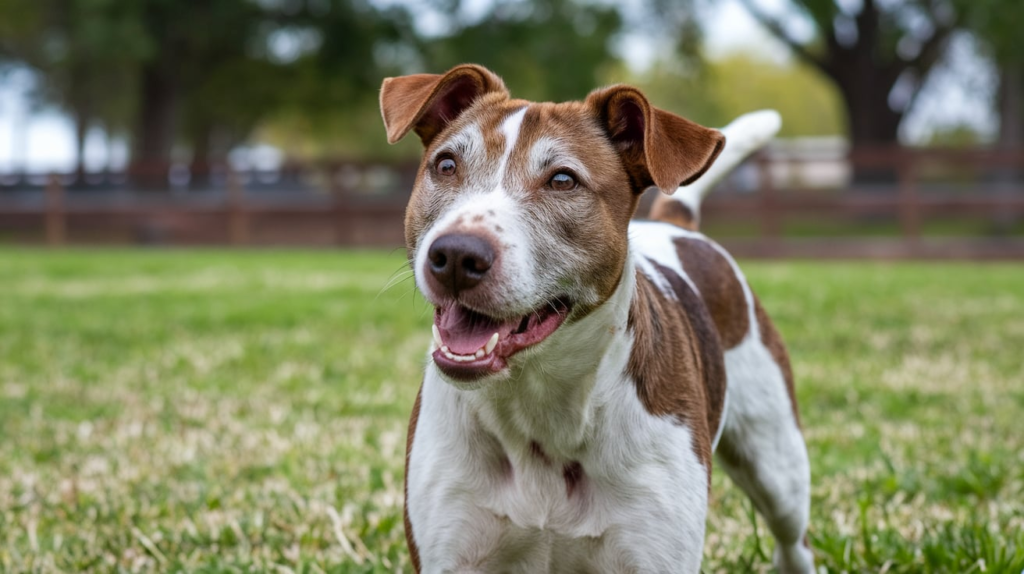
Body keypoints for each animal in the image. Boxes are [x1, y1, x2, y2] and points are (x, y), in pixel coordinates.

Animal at [380, 63, 811, 572]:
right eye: (446, 165)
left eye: (563, 180)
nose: (456, 256)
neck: (538, 403)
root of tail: (675, 223)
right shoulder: (450, 548)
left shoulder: (656, 551)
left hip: (776, 463)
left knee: (792, 537)